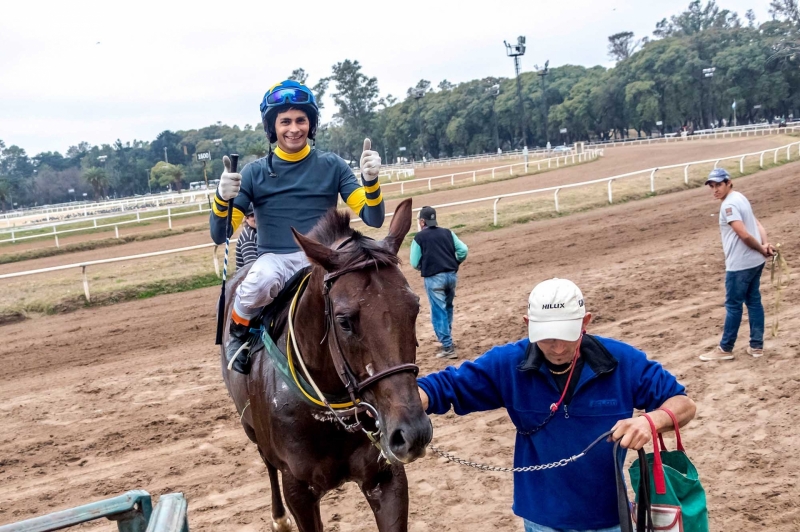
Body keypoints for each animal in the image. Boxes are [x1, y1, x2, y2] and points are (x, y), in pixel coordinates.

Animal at [219, 197, 432, 528]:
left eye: (415, 307)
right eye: (344, 321)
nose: (412, 432)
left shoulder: (386, 477)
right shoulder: (298, 490)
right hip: (251, 428)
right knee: (266, 462)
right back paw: (278, 518)